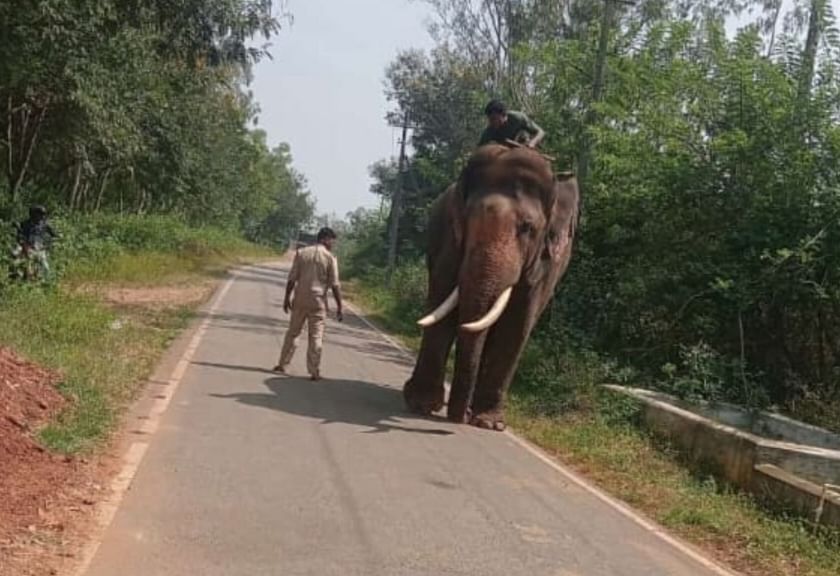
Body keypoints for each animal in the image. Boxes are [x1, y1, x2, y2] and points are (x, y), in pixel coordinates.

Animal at [402, 143, 576, 430]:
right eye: (467, 219)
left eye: (527, 228)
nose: (457, 419)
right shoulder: (450, 239)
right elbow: (443, 302)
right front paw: (421, 406)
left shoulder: (548, 264)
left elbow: (517, 323)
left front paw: (489, 424)